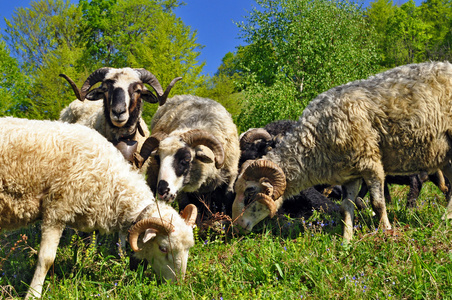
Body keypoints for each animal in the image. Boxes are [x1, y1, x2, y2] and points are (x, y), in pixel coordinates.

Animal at [0, 116, 198, 298]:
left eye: (189, 248)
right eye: (163, 248)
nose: (177, 286)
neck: (109, 179)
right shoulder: (57, 211)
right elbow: (46, 260)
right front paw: (33, 294)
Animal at [233, 61, 452, 241]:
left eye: (250, 192)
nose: (236, 226)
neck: (316, 138)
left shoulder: (370, 163)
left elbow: (377, 203)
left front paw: (387, 231)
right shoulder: (351, 173)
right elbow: (347, 207)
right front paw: (346, 241)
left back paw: (444, 217)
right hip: (444, 154)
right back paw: (446, 218)